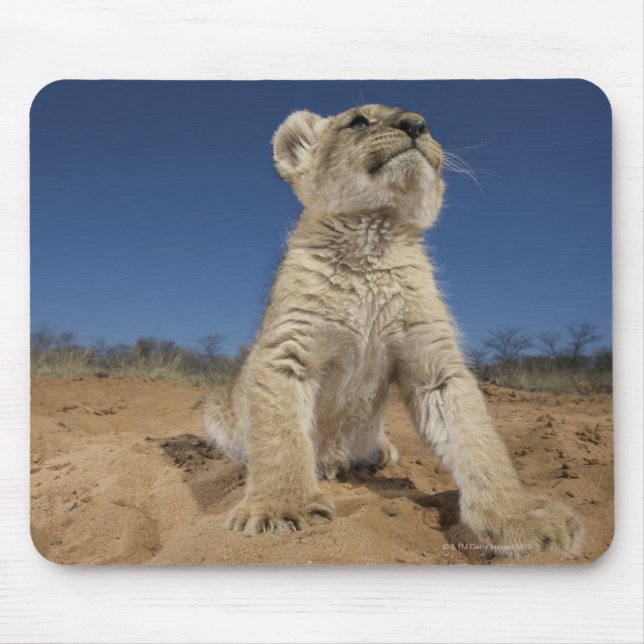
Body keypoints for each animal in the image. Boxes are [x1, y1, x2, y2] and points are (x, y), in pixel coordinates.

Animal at [203, 104, 583, 557]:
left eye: (426, 123)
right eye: (358, 122)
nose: (416, 124)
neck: (375, 236)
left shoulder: (436, 364)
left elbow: (480, 441)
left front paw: (521, 516)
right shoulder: (286, 350)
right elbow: (280, 439)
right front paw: (280, 508)